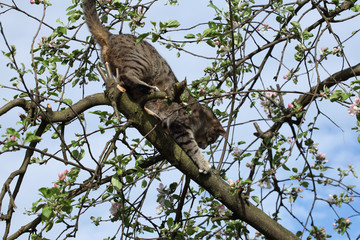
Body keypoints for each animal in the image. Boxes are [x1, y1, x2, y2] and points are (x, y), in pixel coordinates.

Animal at [83, 0, 226, 172]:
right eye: (212, 139)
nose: (205, 146)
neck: (200, 115)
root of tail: (112, 36)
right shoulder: (180, 126)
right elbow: (192, 148)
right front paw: (203, 163)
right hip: (143, 63)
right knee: (127, 75)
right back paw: (149, 89)